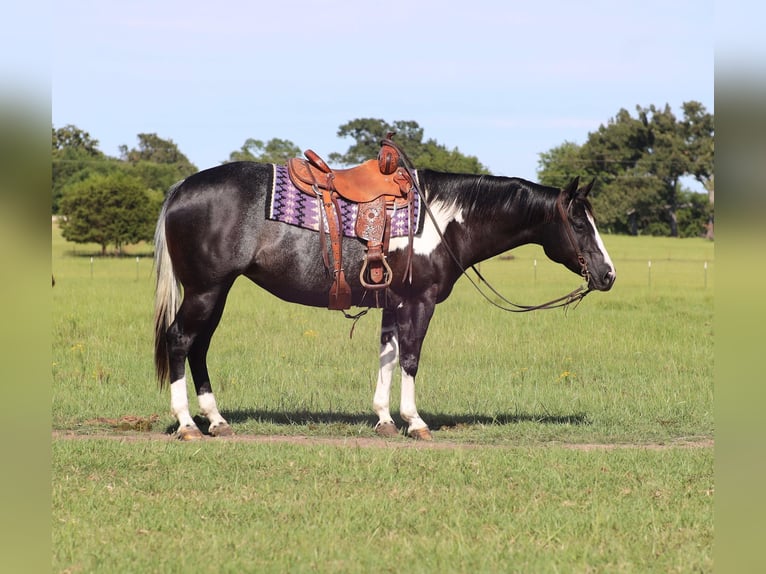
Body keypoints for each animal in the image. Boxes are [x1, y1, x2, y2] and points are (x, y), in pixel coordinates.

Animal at [153, 148, 616, 440]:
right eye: (579, 224)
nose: (608, 275)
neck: (444, 220)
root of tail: (181, 188)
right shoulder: (418, 302)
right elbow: (410, 358)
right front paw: (416, 422)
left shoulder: (393, 303)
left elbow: (388, 357)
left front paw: (384, 419)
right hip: (205, 290)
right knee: (180, 340)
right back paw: (188, 425)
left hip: (216, 291)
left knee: (198, 347)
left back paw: (216, 420)